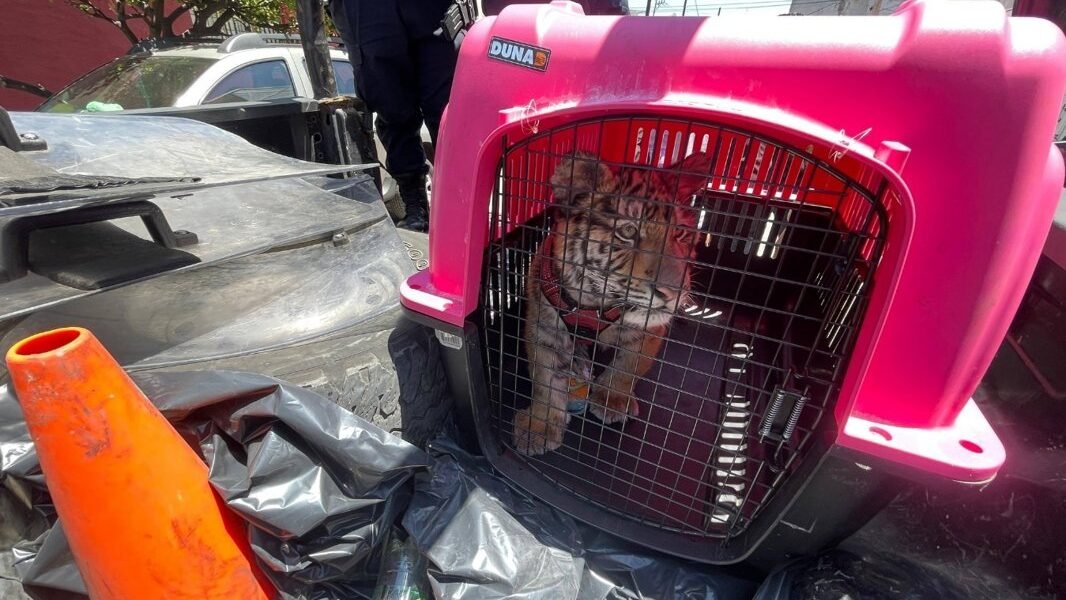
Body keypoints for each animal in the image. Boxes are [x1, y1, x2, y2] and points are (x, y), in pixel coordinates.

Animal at [513, 151, 715, 456]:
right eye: (629, 232)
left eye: (680, 233)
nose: (674, 292)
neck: (594, 298)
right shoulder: (543, 327)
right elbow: (544, 380)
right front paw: (539, 426)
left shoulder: (649, 332)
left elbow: (630, 366)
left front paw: (611, 399)